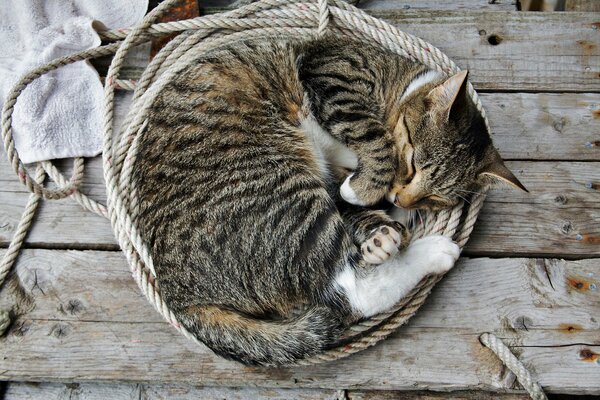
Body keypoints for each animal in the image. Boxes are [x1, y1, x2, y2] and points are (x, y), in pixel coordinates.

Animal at [131, 34, 524, 366]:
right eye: (412, 163)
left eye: (433, 198)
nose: (401, 198)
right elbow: (373, 136)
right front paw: (367, 194)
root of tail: (182, 295)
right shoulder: (332, 72)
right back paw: (432, 251)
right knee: (352, 293)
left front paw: (379, 226)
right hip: (285, 194)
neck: (395, 81)